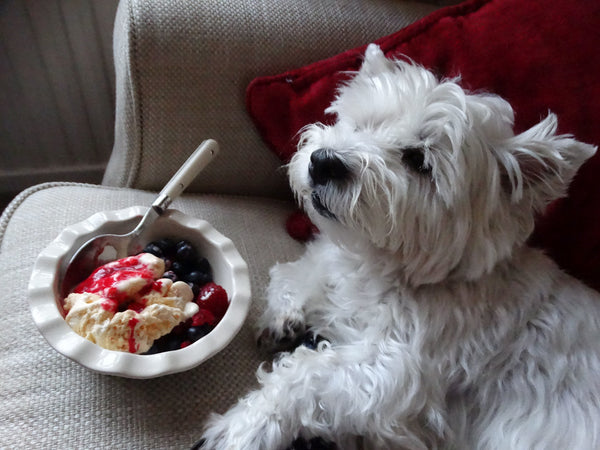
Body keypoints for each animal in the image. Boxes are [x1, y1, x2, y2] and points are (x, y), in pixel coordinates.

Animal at [202, 43, 600, 450]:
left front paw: (242, 427)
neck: (382, 267)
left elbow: (308, 373)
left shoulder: (398, 370)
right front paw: (283, 319)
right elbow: (294, 272)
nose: (324, 162)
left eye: (418, 159)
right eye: (359, 124)